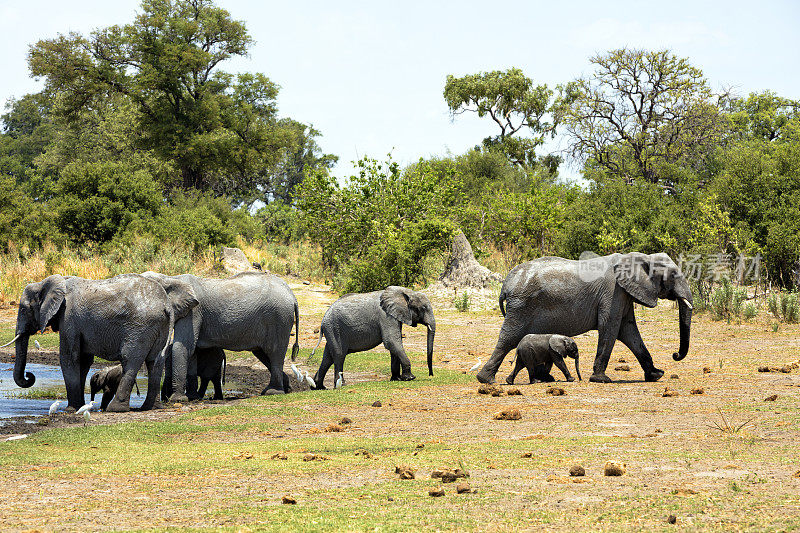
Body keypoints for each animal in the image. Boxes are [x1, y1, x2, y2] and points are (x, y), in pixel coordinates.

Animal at [2, 274, 196, 412]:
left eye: (24, 309)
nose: (29, 376)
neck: (56, 282)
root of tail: (166, 306)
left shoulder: (69, 318)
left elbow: (69, 357)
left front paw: (71, 409)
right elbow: (83, 360)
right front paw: (79, 407)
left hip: (140, 328)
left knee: (130, 360)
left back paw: (116, 409)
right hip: (161, 326)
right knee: (155, 362)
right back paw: (150, 408)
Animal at [142, 270, 298, 400]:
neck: (170, 278)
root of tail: (292, 295)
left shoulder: (194, 312)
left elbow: (183, 347)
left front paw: (178, 399)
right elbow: (191, 350)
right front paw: (192, 398)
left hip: (279, 317)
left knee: (274, 352)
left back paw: (273, 392)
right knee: (263, 354)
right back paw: (286, 388)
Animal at [476, 252, 692, 382]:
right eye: (673, 275)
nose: (675, 355)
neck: (639, 257)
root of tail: (505, 285)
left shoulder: (623, 294)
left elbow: (629, 331)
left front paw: (656, 375)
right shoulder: (612, 293)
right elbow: (610, 328)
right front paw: (601, 380)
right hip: (521, 306)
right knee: (508, 340)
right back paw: (487, 380)